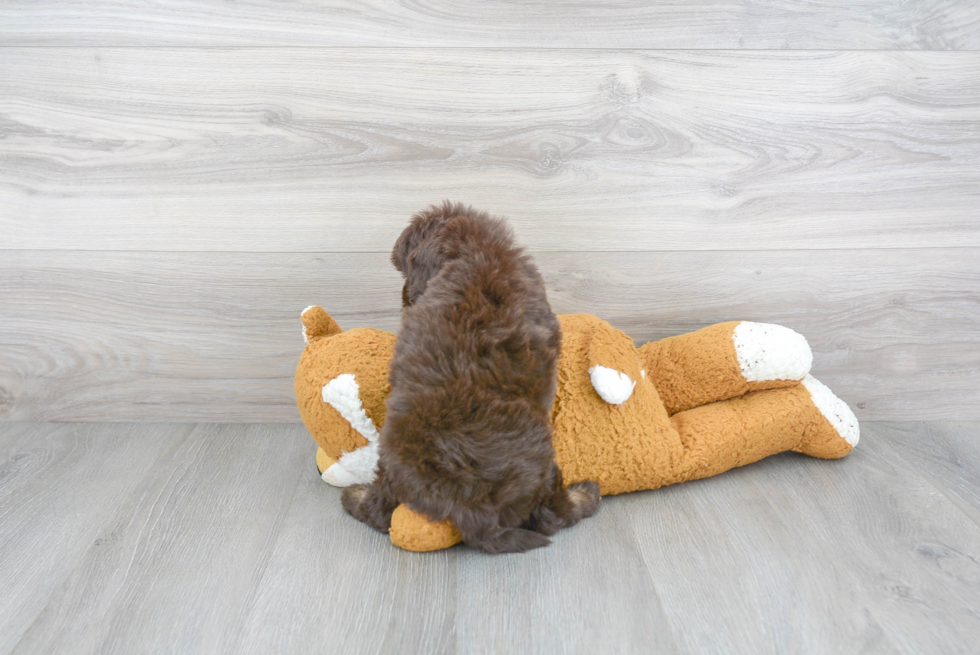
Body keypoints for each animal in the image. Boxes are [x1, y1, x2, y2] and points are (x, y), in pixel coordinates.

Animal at [344, 202, 604, 552]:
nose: (405, 297)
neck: (481, 251)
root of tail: (474, 509)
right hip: (545, 468)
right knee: (551, 515)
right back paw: (586, 496)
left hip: (391, 459)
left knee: (381, 510)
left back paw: (354, 497)